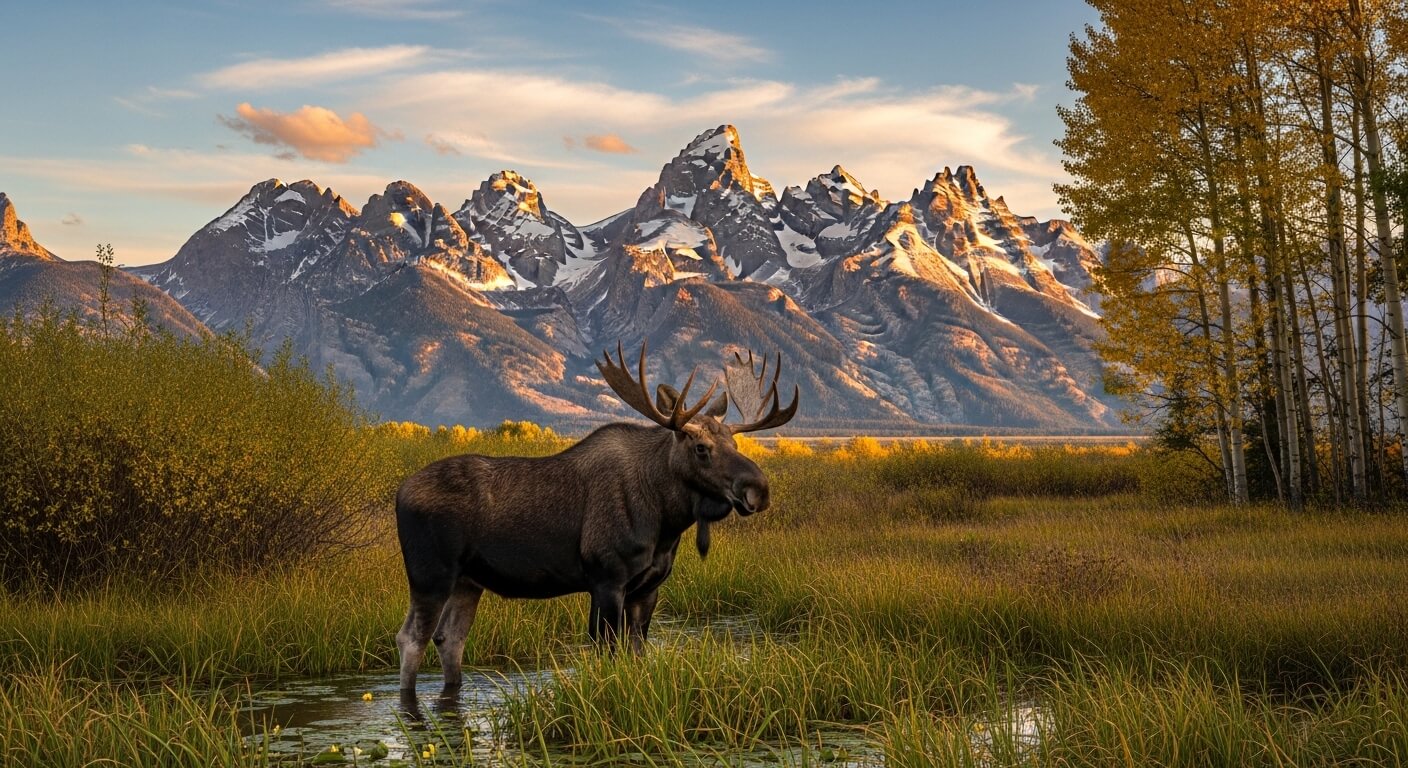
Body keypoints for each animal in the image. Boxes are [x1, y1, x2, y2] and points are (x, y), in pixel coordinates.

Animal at [393, 343, 798, 691]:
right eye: (701, 448)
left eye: (735, 443)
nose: (758, 489)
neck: (665, 521)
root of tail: (399, 492)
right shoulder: (607, 578)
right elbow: (609, 652)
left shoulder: (648, 588)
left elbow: (637, 653)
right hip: (431, 574)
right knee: (412, 637)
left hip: (468, 581)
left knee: (450, 639)